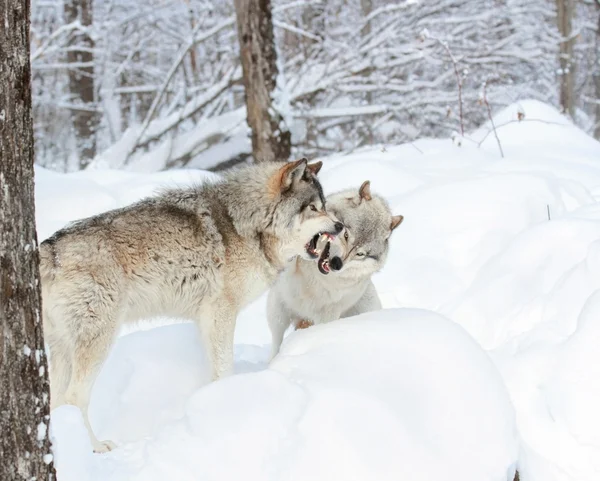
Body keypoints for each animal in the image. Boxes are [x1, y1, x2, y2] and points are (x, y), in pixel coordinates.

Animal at [39, 159, 342, 452]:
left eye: (325, 205)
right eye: (313, 208)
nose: (340, 226)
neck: (245, 224)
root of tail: (48, 250)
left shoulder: (205, 319)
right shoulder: (221, 312)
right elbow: (225, 367)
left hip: (63, 349)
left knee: (57, 401)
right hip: (99, 341)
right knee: (75, 396)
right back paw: (95, 447)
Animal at [268, 181, 404, 360]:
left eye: (360, 254)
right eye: (346, 235)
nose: (337, 264)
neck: (315, 272)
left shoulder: (327, 313)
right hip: (278, 311)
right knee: (276, 343)